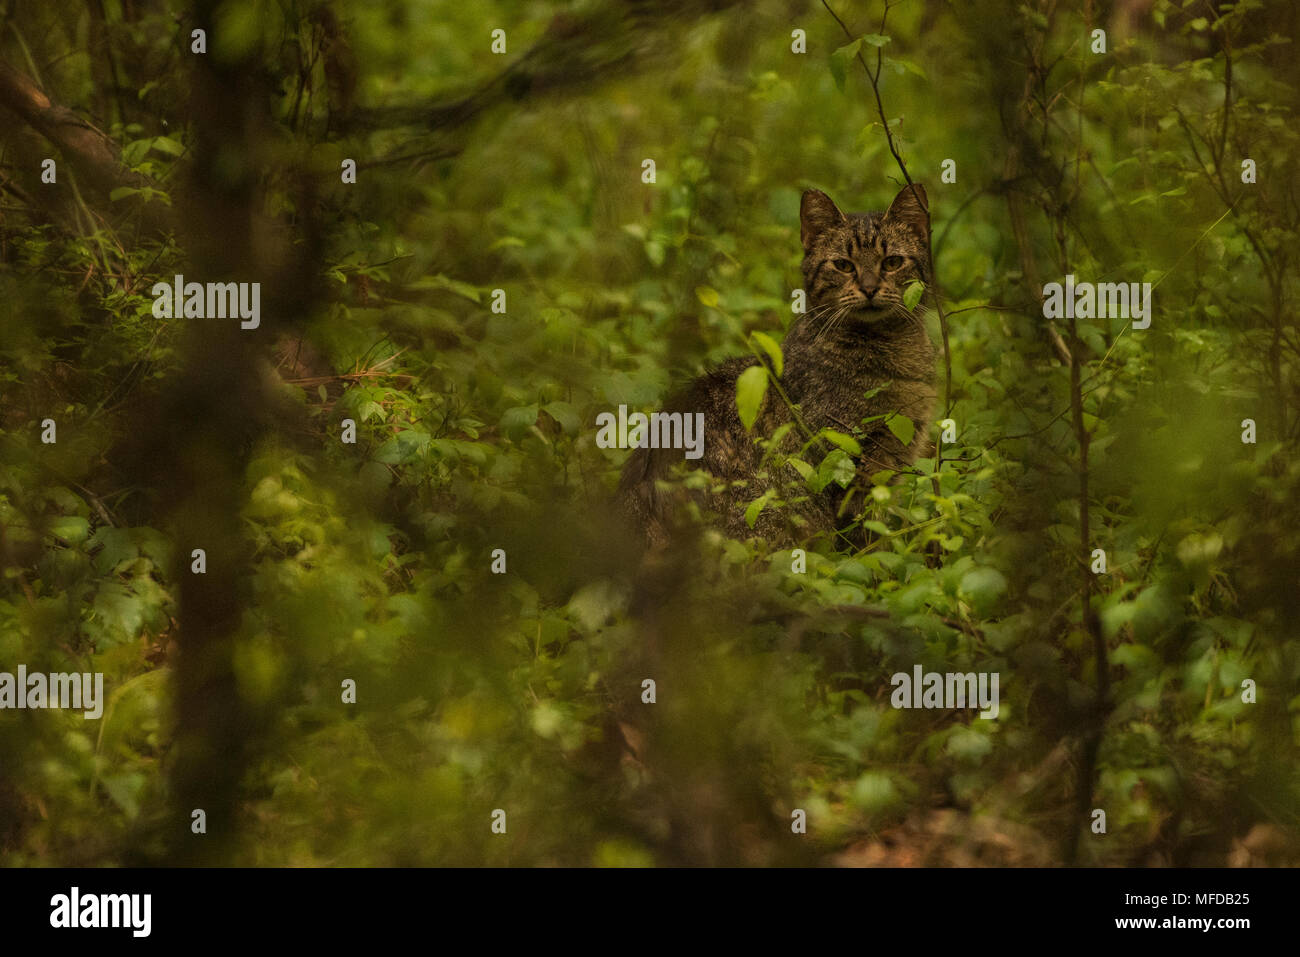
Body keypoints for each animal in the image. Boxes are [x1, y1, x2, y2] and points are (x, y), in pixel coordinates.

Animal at [618, 184, 935, 546]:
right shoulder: (845, 464)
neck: (891, 348)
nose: (869, 288)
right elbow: (864, 539)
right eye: (843, 265)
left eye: (893, 262)